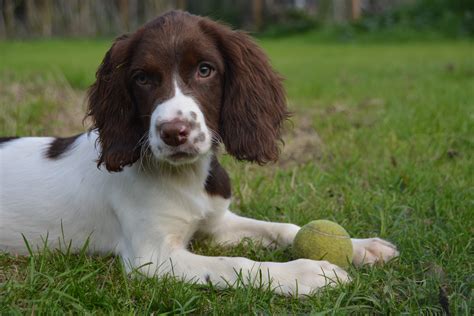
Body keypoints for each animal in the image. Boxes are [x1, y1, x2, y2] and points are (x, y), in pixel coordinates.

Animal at [0, 10, 398, 296]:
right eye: (142, 78)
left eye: (205, 70)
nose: (174, 132)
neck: (185, 177)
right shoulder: (152, 256)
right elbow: (233, 264)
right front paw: (307, 272)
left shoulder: (216, 224)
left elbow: (281, 227)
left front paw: (363, 247)